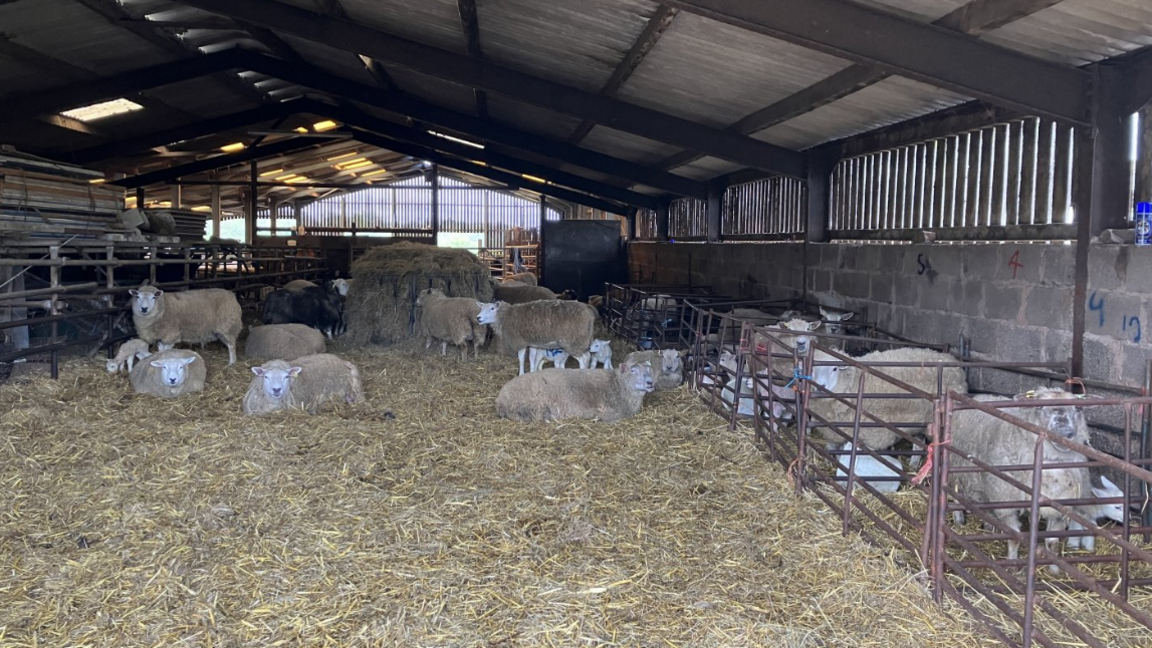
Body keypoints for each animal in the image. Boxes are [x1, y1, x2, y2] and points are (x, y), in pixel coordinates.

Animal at [944, 382, 1087, 569]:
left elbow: (1052, 543)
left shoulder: (1059, 509)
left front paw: (1055, 568)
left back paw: (988, 526)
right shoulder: (1006, 502)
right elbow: (1014, 538)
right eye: (1038, 406)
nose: (1064, 433)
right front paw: (1012, 564)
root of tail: (983, 396)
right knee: (956, 495)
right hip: (958, 472)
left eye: (1078, 408)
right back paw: (959, 520)